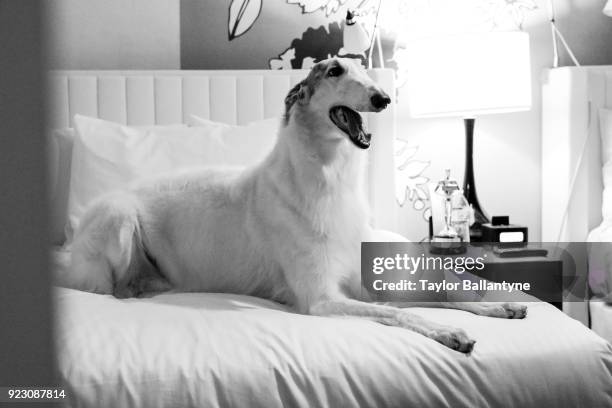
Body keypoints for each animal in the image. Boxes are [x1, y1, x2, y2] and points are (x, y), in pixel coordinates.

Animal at [62, 58, 524, 354]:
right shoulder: (320, 298)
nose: (383, 98)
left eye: (365, 72)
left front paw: (497, 303)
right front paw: (448, 331)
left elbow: (436, 295)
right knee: (113, 286)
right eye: (335, 71)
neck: (328, 182)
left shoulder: (363, 281)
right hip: (119, 217)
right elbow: (396, 313)